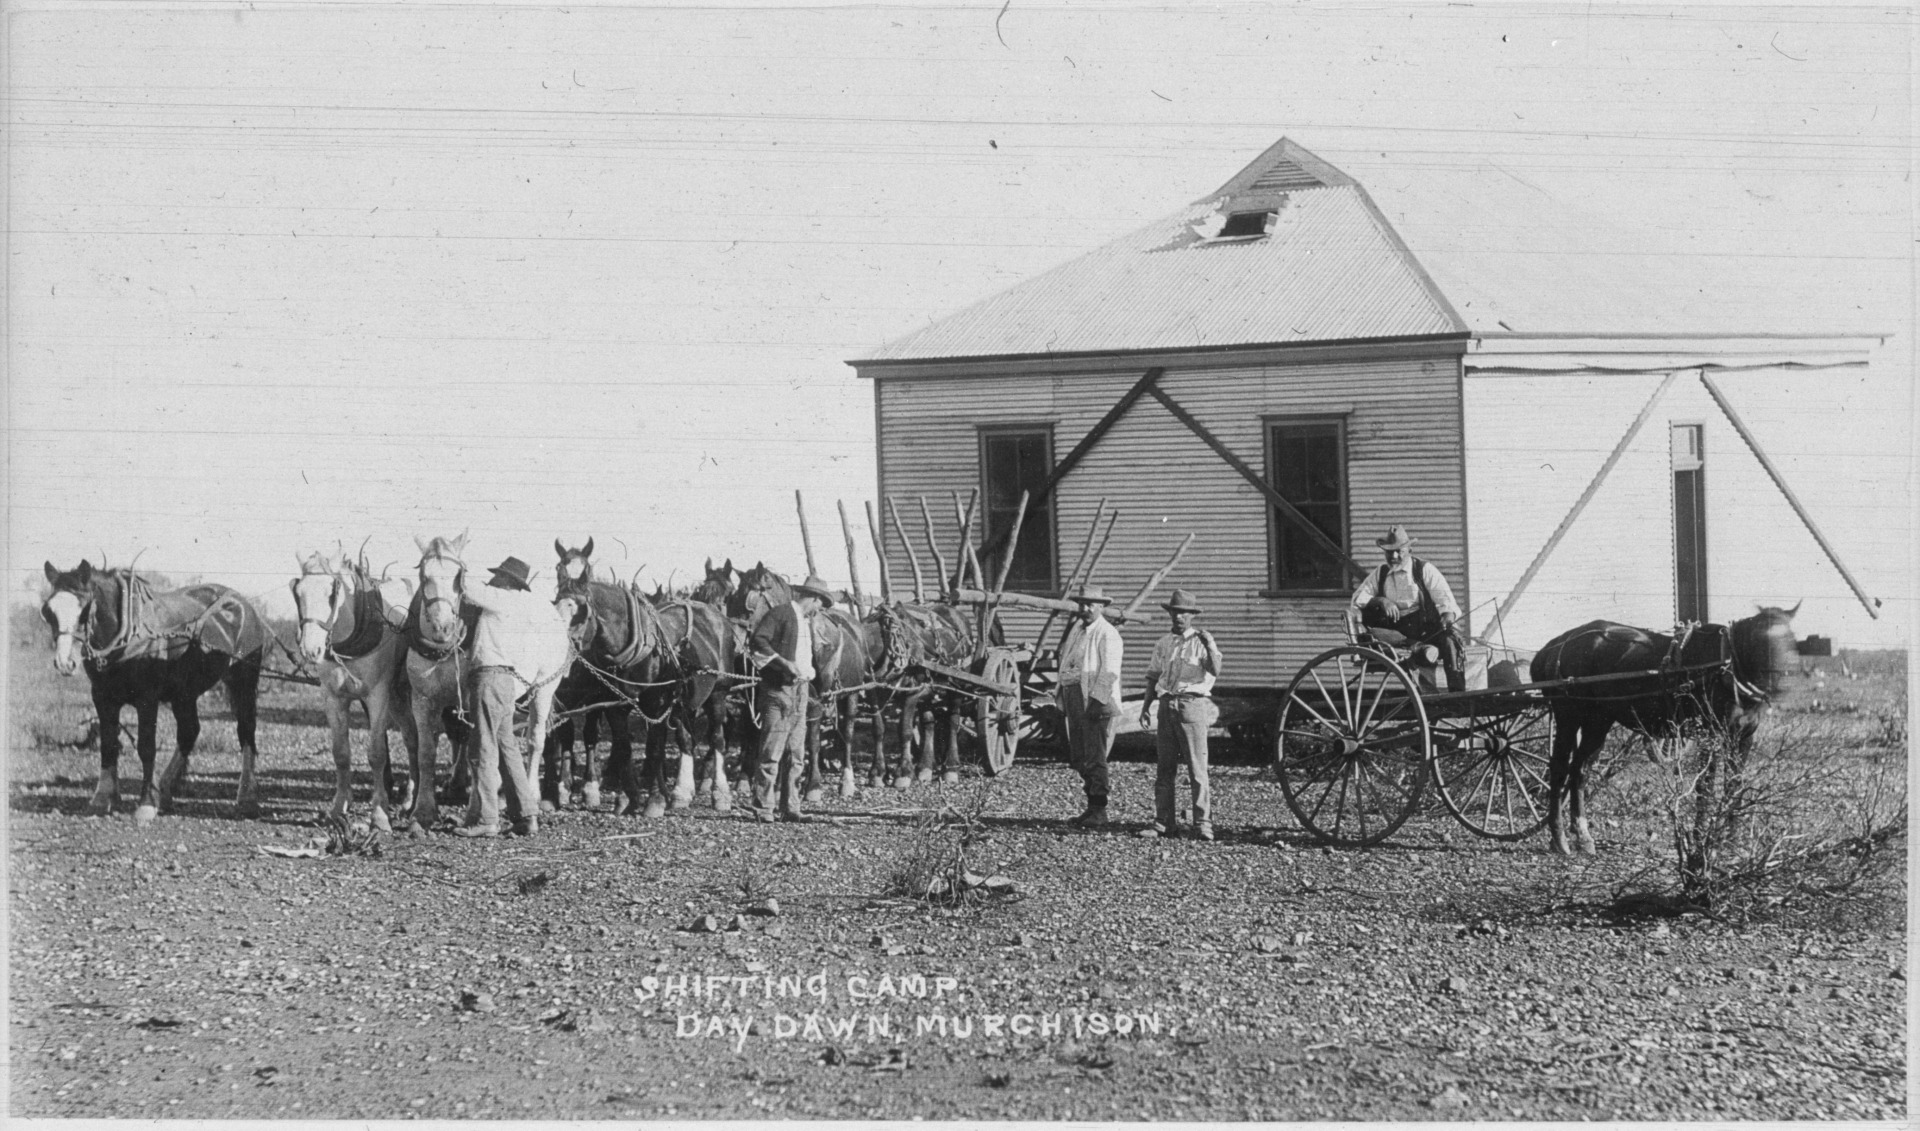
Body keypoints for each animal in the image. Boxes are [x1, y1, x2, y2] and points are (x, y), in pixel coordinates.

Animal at [41, 560, 268, 825]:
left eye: (84, 607)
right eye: (48, 611)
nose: (65, 662)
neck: (128, 634)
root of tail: (243, 605)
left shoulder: (147, 699)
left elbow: (146, 747)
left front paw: (146, 804)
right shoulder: (102, 697)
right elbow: (108, 745)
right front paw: (102, 798)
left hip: (243, 682)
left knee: (246, 731)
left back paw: (246, 797)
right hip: (184, 692)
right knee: (189, 731)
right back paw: (167, 789)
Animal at [1528, 602, 1797, 852]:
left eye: (1790, 640)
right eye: (1760, 639)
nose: (1778, 686)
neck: (1726, 666)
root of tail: (1557, 645)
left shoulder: (1742, 738)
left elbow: (1734, 785)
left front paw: (1730, 840)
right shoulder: (1710, 735)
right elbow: (1705, 786)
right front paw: (1700, 838)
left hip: (1598, 722)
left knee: (1579, 770)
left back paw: (1582, 835)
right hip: (1568, 717)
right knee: (1559, 767)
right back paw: (1558, 837)